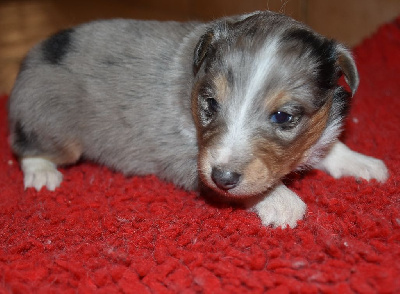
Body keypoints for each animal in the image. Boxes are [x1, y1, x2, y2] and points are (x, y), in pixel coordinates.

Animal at [7, 10, 388, 227]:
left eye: (283, 117)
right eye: (211, 103)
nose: (222, 177)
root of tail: (29, 60)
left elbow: (328, 145)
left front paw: (364, 164)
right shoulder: (184, 157)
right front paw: (283, 201)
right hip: (52, 123)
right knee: (26, 146)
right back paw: (42, 174)